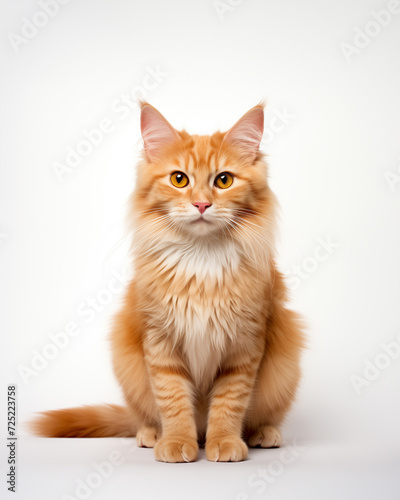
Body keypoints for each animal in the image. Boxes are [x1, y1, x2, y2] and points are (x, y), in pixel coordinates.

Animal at [32, 102, 304, 464]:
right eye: (179, 179)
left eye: (224, 180)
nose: (202, 204)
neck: (201, 259)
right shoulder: (159, 341)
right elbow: (172, 400)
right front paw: (175, 442)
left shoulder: (245, 345)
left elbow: (229, 403)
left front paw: (224, 441)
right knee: (144, 417)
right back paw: (151, 434)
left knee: (262, 417)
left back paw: (263, 434)